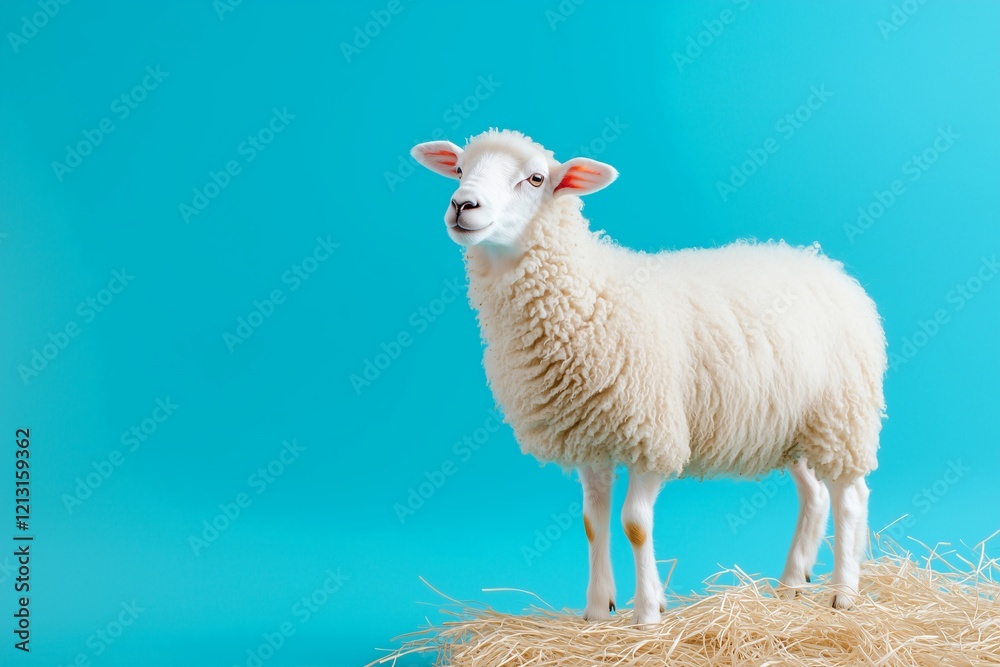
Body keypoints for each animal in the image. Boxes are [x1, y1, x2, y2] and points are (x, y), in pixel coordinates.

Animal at [410, 129, 887, 625]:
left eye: (536, 178)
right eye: (459, 169)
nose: (462, 204)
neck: (588, 294)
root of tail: (831, 267)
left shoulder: (651, 434)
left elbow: (635, 524)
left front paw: (647, 614)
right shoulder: (589, 437)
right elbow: (593, 523)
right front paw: (597, 611)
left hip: (841, 414)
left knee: (850, 498)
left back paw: (843, 594)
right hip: (791, 424)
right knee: (814, 495)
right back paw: (792, 584)